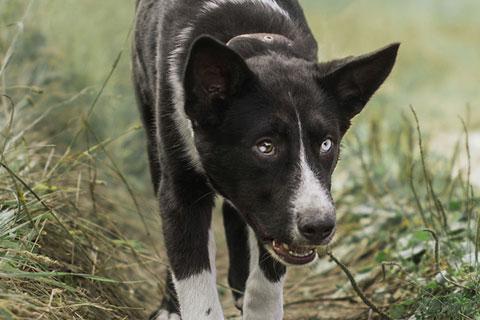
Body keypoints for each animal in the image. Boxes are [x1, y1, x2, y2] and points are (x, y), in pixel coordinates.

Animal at [131, 1, 398, 318]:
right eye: (265, 146)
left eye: (326, 144)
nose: (320, 227)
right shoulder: (183, 192)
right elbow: (195, 284)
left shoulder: (274, 220)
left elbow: (266, 282)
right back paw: (171, 306)